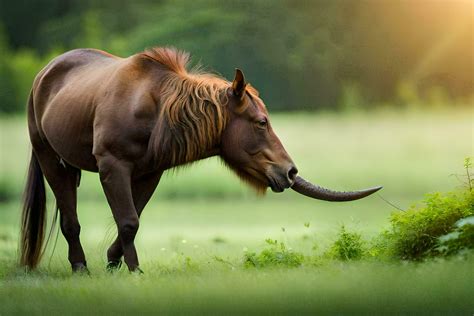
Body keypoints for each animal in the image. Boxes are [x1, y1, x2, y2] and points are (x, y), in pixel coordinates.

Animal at [19, 47, 382, 272]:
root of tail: (41, 75)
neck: (158, 115)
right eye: (261, 122)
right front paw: (133, 270)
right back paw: (79, 266)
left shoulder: (150, 171)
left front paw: (113, 262)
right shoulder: (111, 164)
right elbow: (128, 221)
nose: (289, 171)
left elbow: (132, 220)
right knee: (69, 219)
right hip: (47, 153)